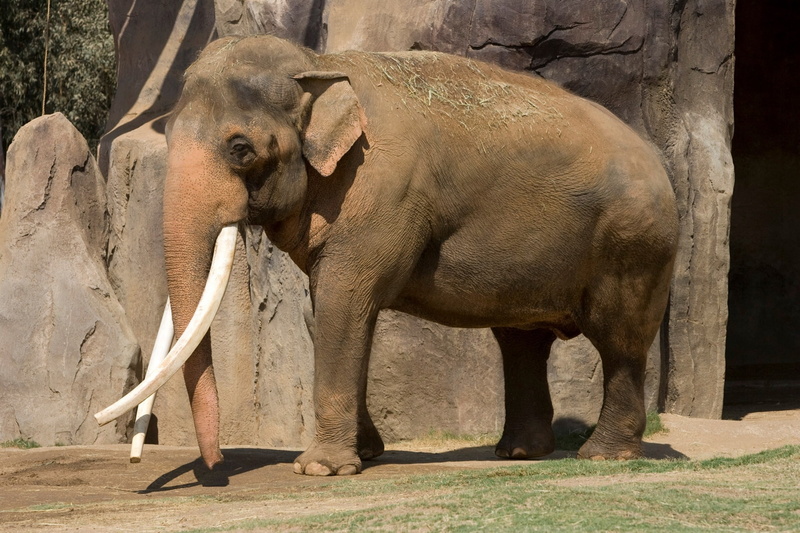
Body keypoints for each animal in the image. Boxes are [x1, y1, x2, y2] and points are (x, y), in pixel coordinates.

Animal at [97, 34, 679, 476]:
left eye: (240, 148)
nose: (216, 465)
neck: (320, 62)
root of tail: (659, 160)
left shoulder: (382, 187)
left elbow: (342, 300)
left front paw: (320, 469)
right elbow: (331, 311)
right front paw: (365, 454)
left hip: (635, 243)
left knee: (620, 340)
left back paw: (603, 456)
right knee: (522, 342)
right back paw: (518, 453)